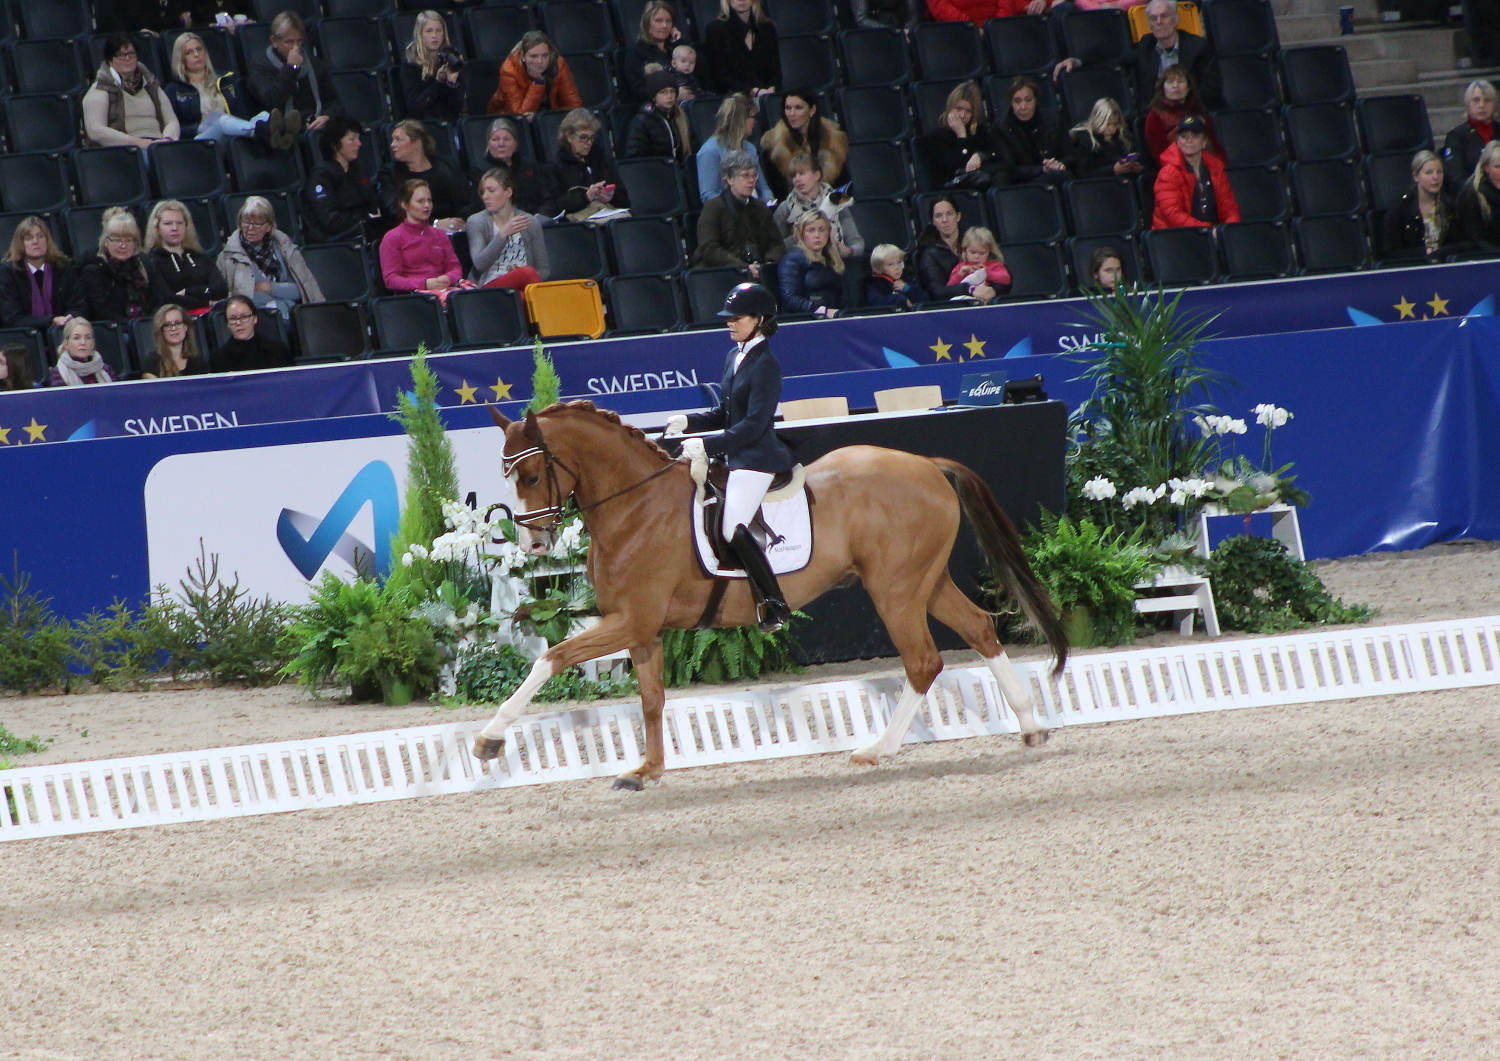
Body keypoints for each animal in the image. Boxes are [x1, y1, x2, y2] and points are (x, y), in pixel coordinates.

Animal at [473, 400, 1068, 789]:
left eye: (530, 473)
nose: (533, 543)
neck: (634, 506)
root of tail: (927, 465)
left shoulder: (631, 621)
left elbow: (550, 658)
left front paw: (489, 740)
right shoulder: (641, 628)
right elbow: (651, 698)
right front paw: (646, 771)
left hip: (895, 589)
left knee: (923, 661)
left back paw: (876, 750)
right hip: (927, 581)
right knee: (980, 630)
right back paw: (1031, 725)